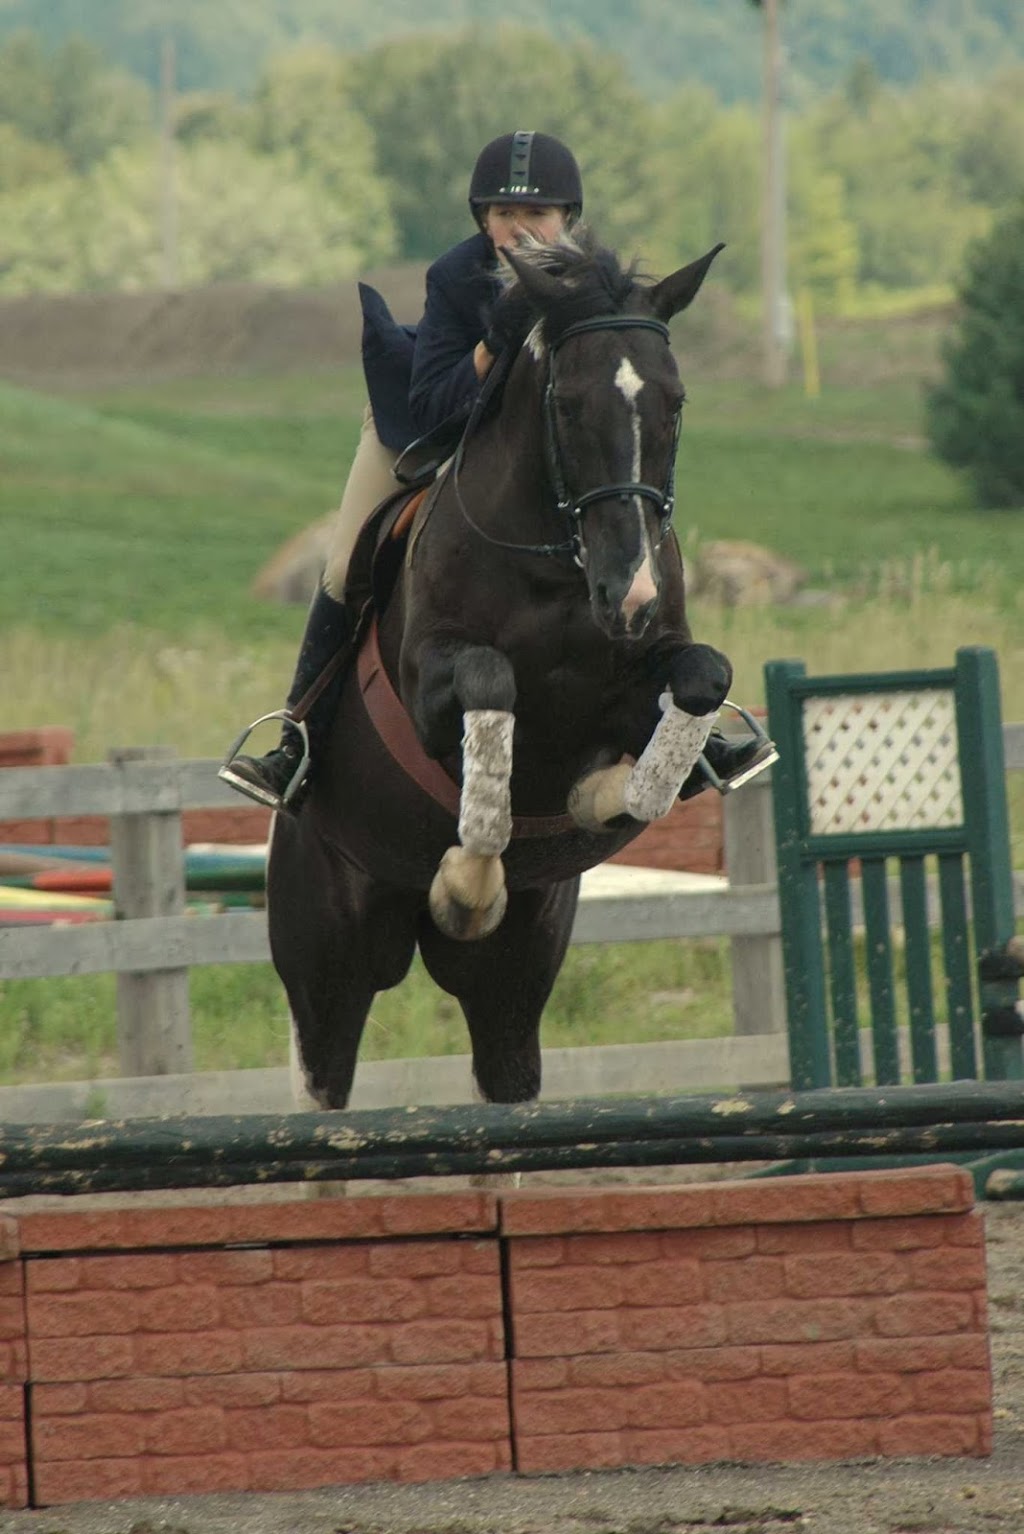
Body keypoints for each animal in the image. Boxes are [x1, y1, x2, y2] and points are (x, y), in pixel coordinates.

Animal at [266, 227, 735, 1116]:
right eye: (568, 405)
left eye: (677, 402)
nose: (631, 594)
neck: (557, 564)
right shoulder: (429, 684)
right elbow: (493, 690)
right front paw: (468, 881)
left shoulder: (645, 677)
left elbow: (699, 685)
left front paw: (595, 797)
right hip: (328, 948)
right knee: (322, 1077)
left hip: (515, 970)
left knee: (505, 1072)